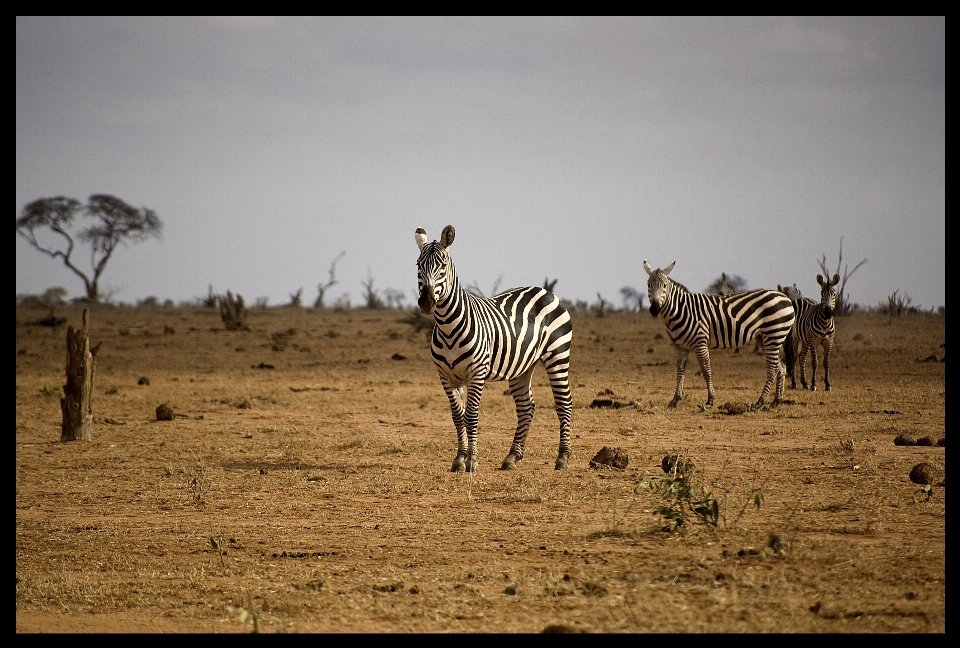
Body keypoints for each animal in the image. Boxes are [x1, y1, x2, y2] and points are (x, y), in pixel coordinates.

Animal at [412, 227, 568, 470]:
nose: (427, 302)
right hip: (522, 366)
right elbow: (457, 416)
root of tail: (544, 290)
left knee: (563, 404)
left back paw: (562, 458)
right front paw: (459, 459)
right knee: (526, 407)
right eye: (418, 265)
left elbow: (471, 416)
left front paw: (472, 461)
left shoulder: (477, 373)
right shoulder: (445, 376)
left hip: (558, 355)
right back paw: (512, 457)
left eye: (442, 265)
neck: (448, 327)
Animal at [644, 260, 796, 408]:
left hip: (774, 334)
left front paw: (710, 400)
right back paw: (776, 401)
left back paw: (760, 401)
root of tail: (785, 297)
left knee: (772, 368)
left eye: (664, 285)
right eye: (648, 285)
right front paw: (675, 399)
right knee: (780, 366)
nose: (654, 309)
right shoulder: (679, 346)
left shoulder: (700, 343)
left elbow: (706, 370)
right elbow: (680, 371)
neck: (681, 311)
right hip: (764, 337)